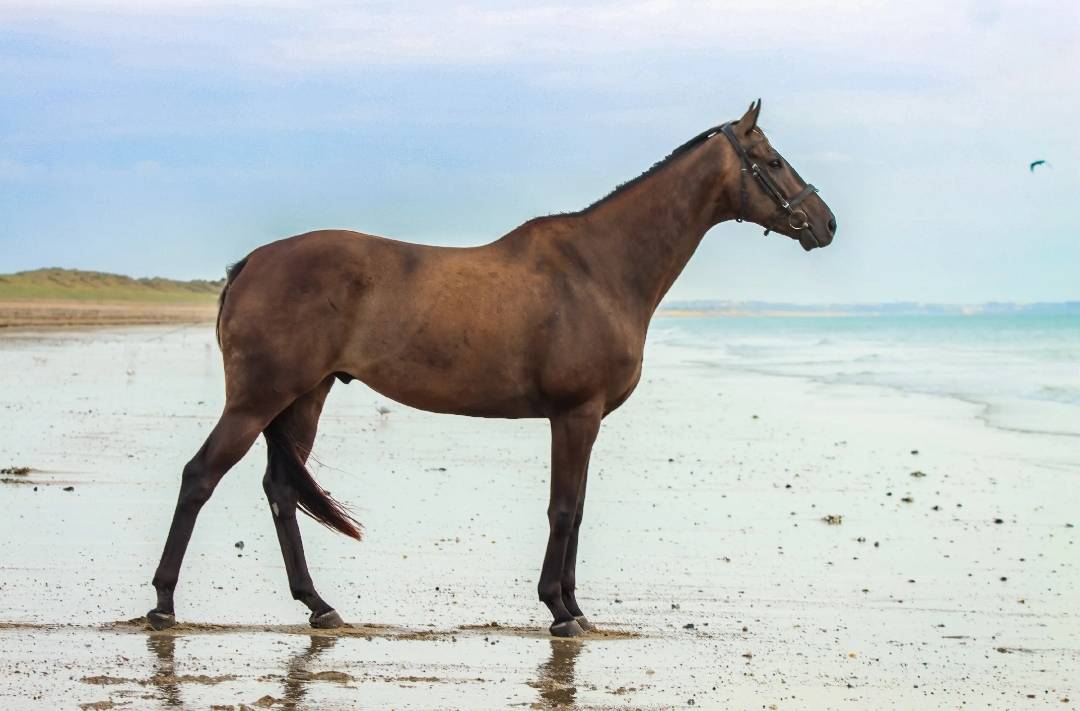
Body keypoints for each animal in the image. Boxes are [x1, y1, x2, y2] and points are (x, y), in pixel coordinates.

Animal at [147, 99, 836, 637]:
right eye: (775, 162)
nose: (826, 224)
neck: (599, 268)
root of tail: (249, 265)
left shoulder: (584, 421)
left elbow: (577, 509)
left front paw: (574, 607)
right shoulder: (575, 415)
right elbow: (563, 508)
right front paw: (560, 611)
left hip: (304, 397)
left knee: (282, 491)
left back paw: (319, 606)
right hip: (257, 400)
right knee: (199, 477)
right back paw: (163, 603)